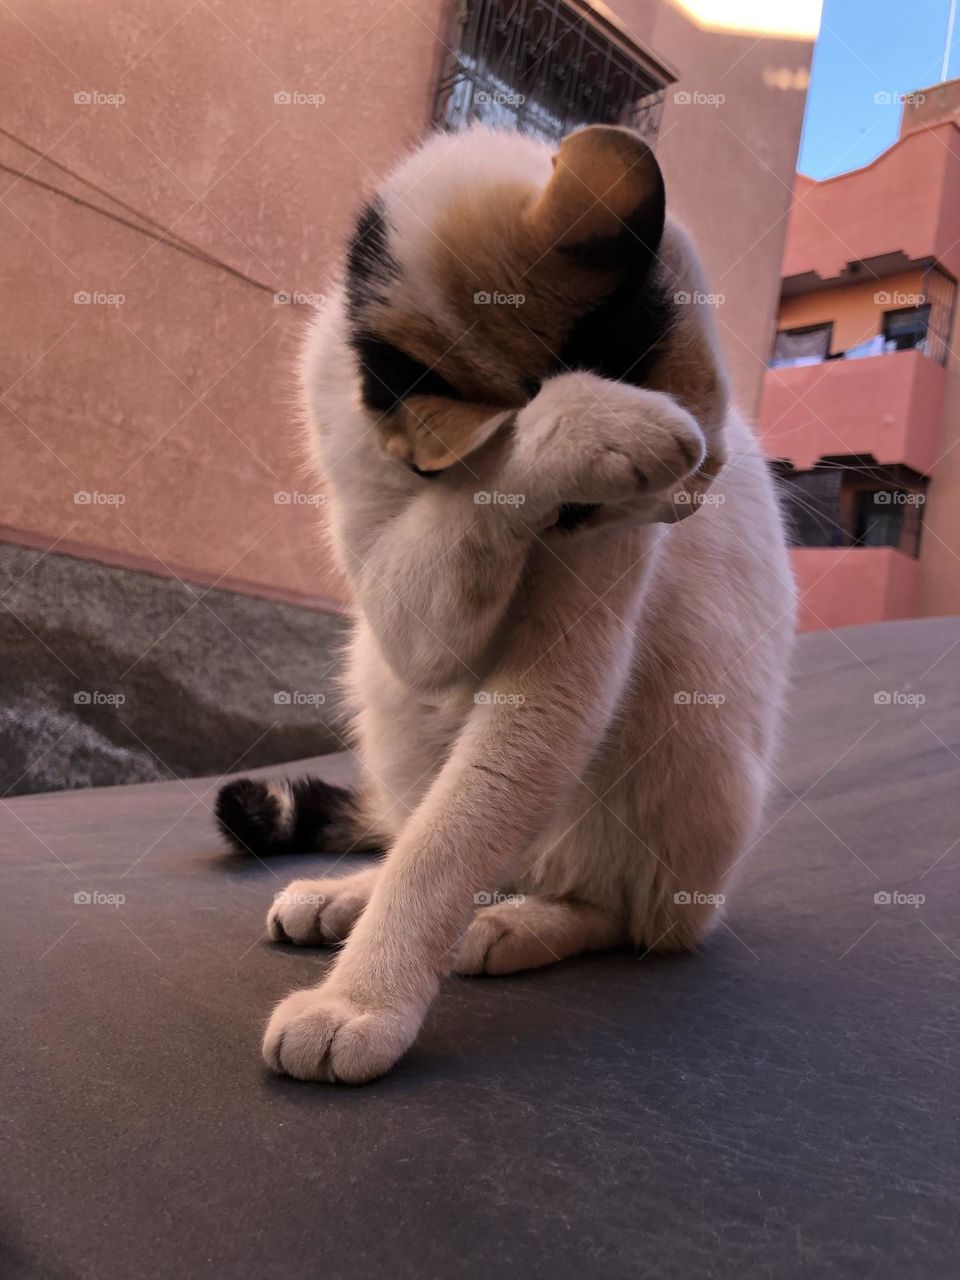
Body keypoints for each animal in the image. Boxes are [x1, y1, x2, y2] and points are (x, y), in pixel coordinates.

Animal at [216, 122, 798, 1080]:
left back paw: (513, 923)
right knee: (431, 830)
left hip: (686, 744)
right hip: (382, 682)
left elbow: (443, 849)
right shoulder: (410, 608)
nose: (685, 498)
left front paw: (358, 1002)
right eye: (572, 511)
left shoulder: (557, 677)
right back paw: (349, 898)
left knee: (620, 912)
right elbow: (433, 840)